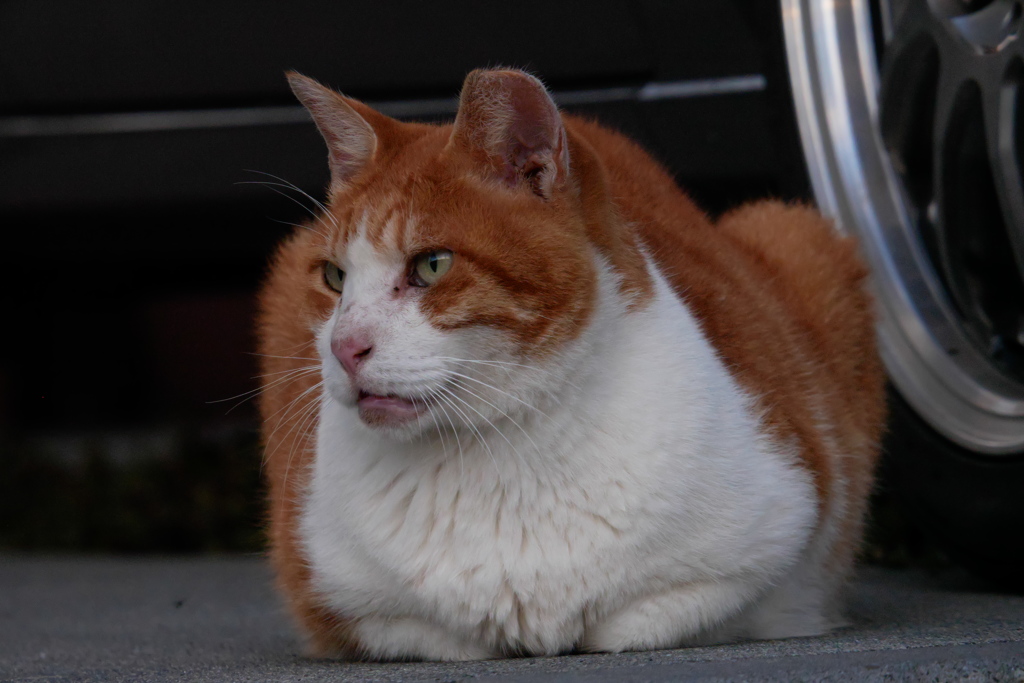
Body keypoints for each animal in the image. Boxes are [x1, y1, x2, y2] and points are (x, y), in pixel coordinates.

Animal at [258, 66, 888, 659]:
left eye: (432, 265)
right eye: (334, 277)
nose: (344, 347)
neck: (496, 450)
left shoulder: (772, 537)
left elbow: (631, 625)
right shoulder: (342, 599)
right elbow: (449, 637)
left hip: (794, 227)